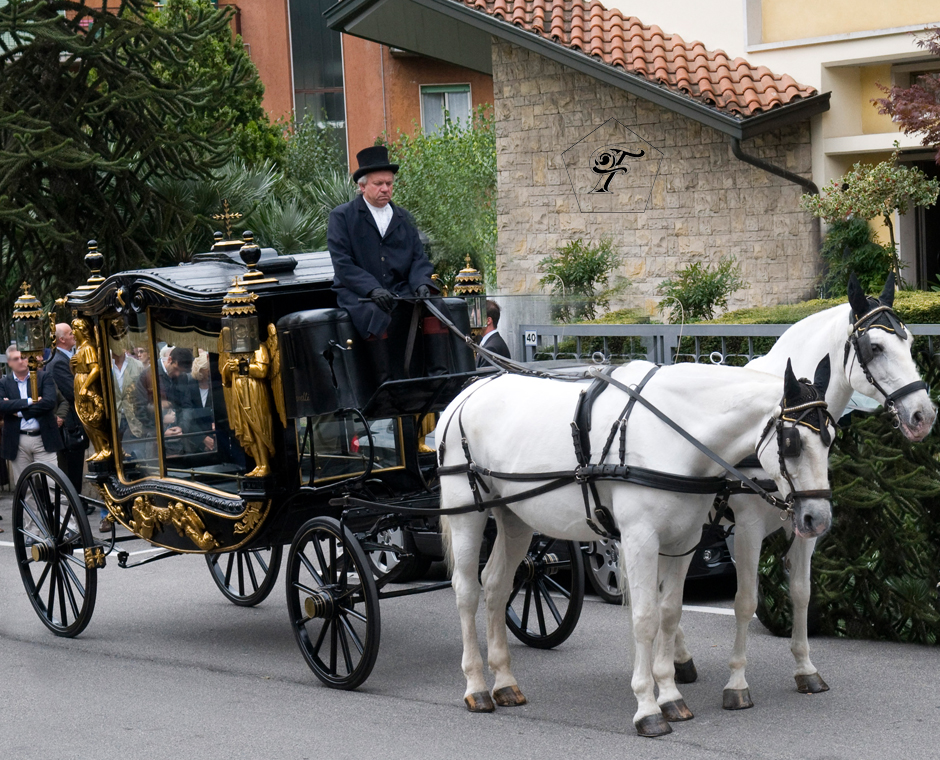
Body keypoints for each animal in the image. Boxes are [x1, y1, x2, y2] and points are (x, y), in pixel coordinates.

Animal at [442, 356, 836, 736]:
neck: (673, 434)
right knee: (467, 591)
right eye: (792, 443)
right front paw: (648, 707)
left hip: (514, 517)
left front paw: (671, 694)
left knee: (496, 585)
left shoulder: (684, 539)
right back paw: (477, 686)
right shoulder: (642, 538)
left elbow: (670, 611)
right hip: (467, 513)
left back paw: (504, 682)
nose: (818, 518)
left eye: (830, 439)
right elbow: (646, 618)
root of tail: (467, 392)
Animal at [672, 274, 936, 712]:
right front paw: (737, 682)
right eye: (875, 347)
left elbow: (801, 592)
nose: (923, 415)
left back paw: (678, 660)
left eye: (911, 341)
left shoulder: (807, 521)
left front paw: (805, 669)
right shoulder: (745, 530)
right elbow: (745, 601)